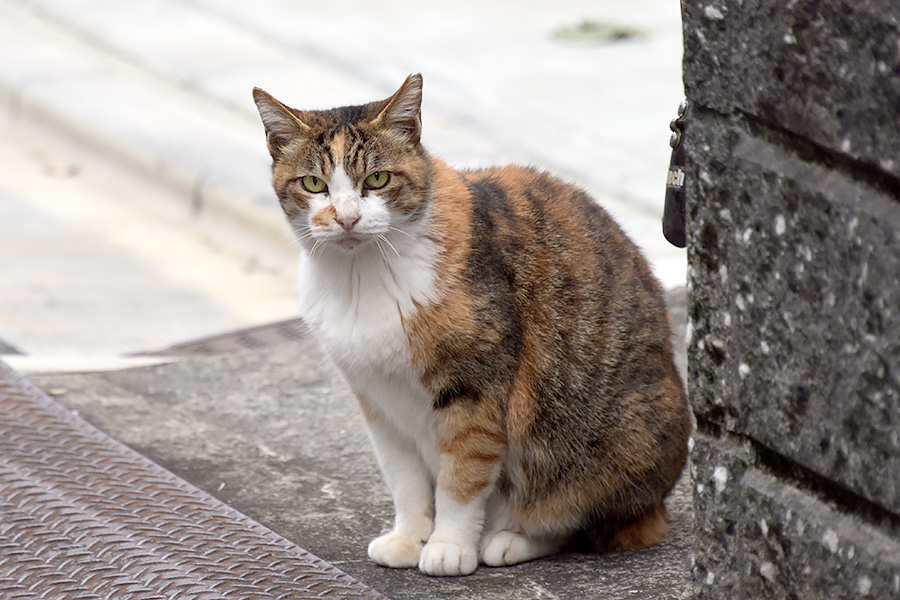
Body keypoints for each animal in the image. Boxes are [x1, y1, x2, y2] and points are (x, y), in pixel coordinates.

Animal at [253, 74, 688, 576]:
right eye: (314, 184)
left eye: (377, 179)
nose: (347, 218)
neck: (361, 277)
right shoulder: (378, 401)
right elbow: (405, 479)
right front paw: (409, 537)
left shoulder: (475, 390)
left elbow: (462, 476)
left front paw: (448, 546)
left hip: (598, 446)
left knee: (579, 518)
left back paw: (509, 540)